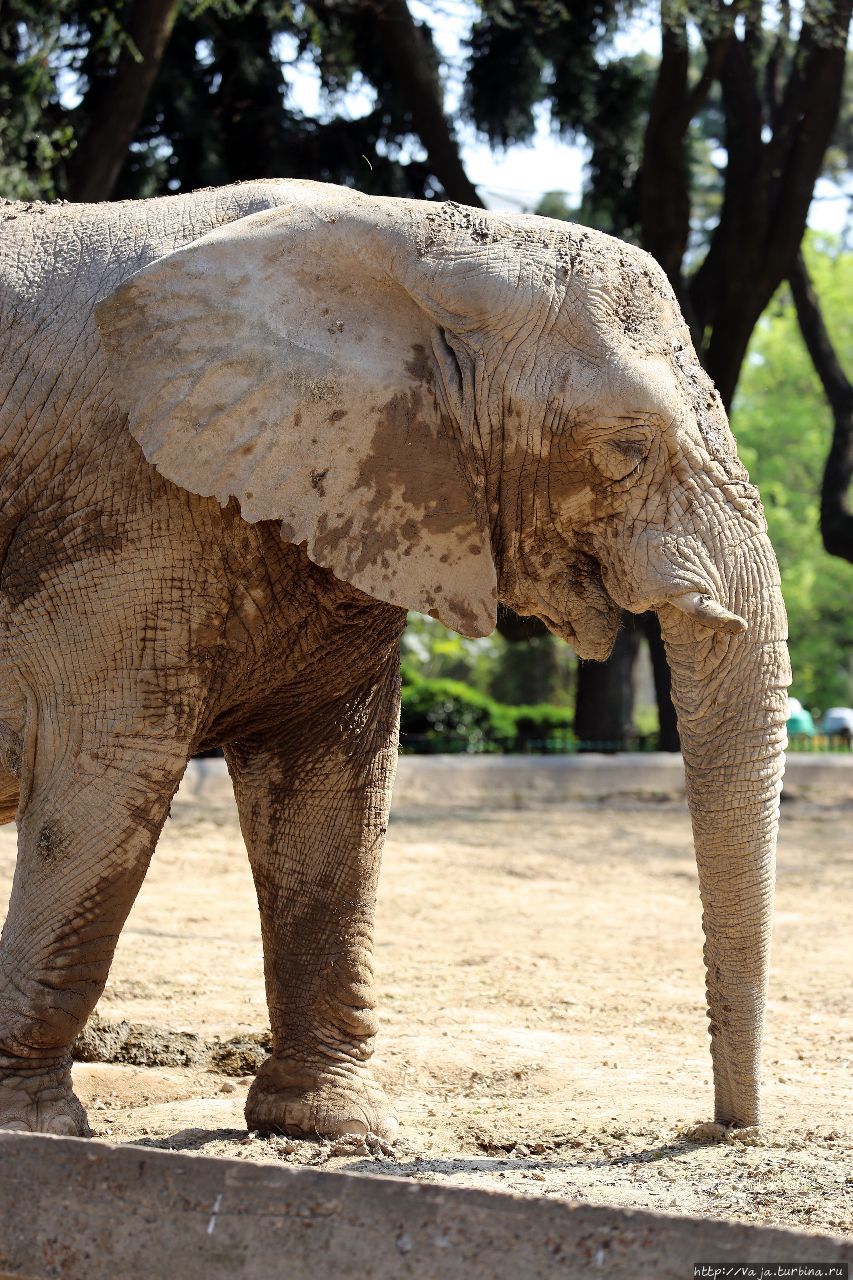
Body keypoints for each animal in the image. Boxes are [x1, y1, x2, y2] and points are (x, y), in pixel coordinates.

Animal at [0, 180, 788, 1141]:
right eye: (623, 449)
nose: (720, 1129)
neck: (416, 241)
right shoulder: (125, 504)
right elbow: (104, 778)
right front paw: (35, 1128)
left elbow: (335, 793)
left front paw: (329, 1127)